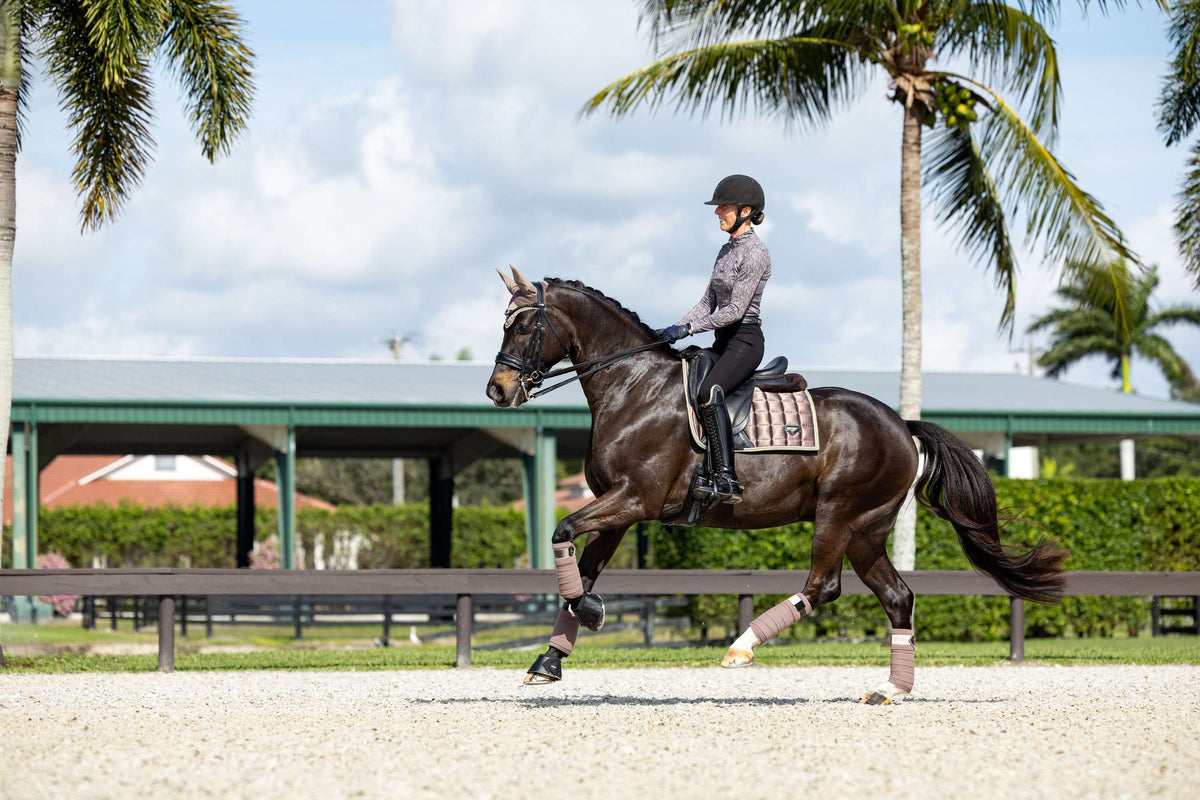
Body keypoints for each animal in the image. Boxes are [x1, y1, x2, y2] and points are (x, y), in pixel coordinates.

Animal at [482, 267, 1065, 700]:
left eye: (522, 327)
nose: (498, 390)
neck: (633, 387)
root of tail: (901, 424)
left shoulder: (633, 500)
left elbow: (561, 532)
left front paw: (590, 616)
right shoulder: (618, 512)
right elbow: (580, 570)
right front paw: (550, 659)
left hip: (838, 515)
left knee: (824, 586)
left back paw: (741, 647)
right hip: (867, 531)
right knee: (898, 597)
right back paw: (892, 689)